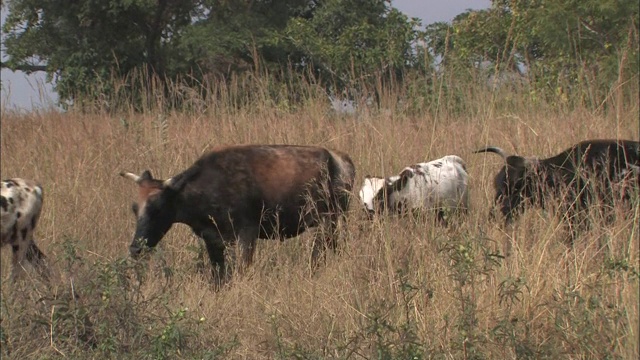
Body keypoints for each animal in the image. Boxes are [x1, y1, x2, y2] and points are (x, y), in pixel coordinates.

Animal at [121, 145, 356, 280]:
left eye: (158, 207)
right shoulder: (212, 239)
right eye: (134, 208)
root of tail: (339, 159)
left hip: (326, 224)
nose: (135, 248)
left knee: (317, 258)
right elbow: (218, 276)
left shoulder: (247, 234)